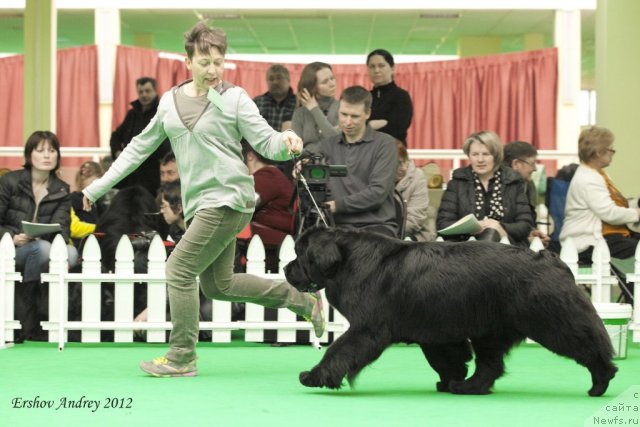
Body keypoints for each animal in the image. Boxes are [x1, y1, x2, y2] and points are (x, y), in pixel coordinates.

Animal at [282, 227, 616, 398]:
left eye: (300, 254)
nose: (286, 269)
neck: (349, 261)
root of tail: (550, 258)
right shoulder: (435, 331)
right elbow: (446, 358)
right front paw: (450, 379)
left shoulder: (368, 328)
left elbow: (339, 350)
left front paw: (315, 376)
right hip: (490, 329)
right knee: (490, 365)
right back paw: (469, 387)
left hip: (552, 320)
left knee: (589, 345)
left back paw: (601, 381)